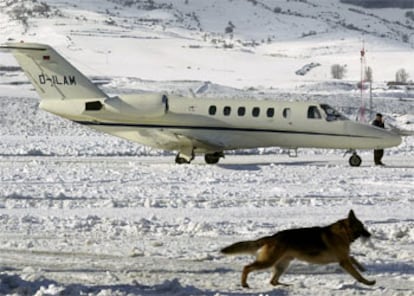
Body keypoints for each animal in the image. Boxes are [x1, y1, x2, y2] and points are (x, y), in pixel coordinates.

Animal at [222, 209, 376, 288]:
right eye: (362, 227)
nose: (370, 234)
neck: (342, 233)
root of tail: (273, 237)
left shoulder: (344, 258)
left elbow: (354, 259)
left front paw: (363, 268)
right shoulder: (343, 261)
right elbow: (357, 274)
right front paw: (367, 282)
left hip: (282, 265)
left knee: (273, 281)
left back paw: (286, 285)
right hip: (268, 262)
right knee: (247, 267)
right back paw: (244, 284)